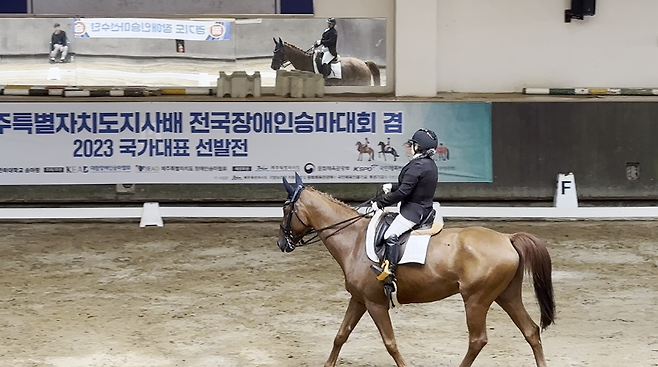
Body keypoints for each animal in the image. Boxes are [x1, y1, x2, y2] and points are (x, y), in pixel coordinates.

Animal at [276, 175, 552, 367]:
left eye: (286, 208)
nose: (281, 243)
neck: (353, 239)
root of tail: (507, 238)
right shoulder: (359, 299)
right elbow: (341, 335)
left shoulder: (375, 303)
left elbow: (390, 343)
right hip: (506, 295)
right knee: (531, 331)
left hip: (476, 299)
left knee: (478, 340)